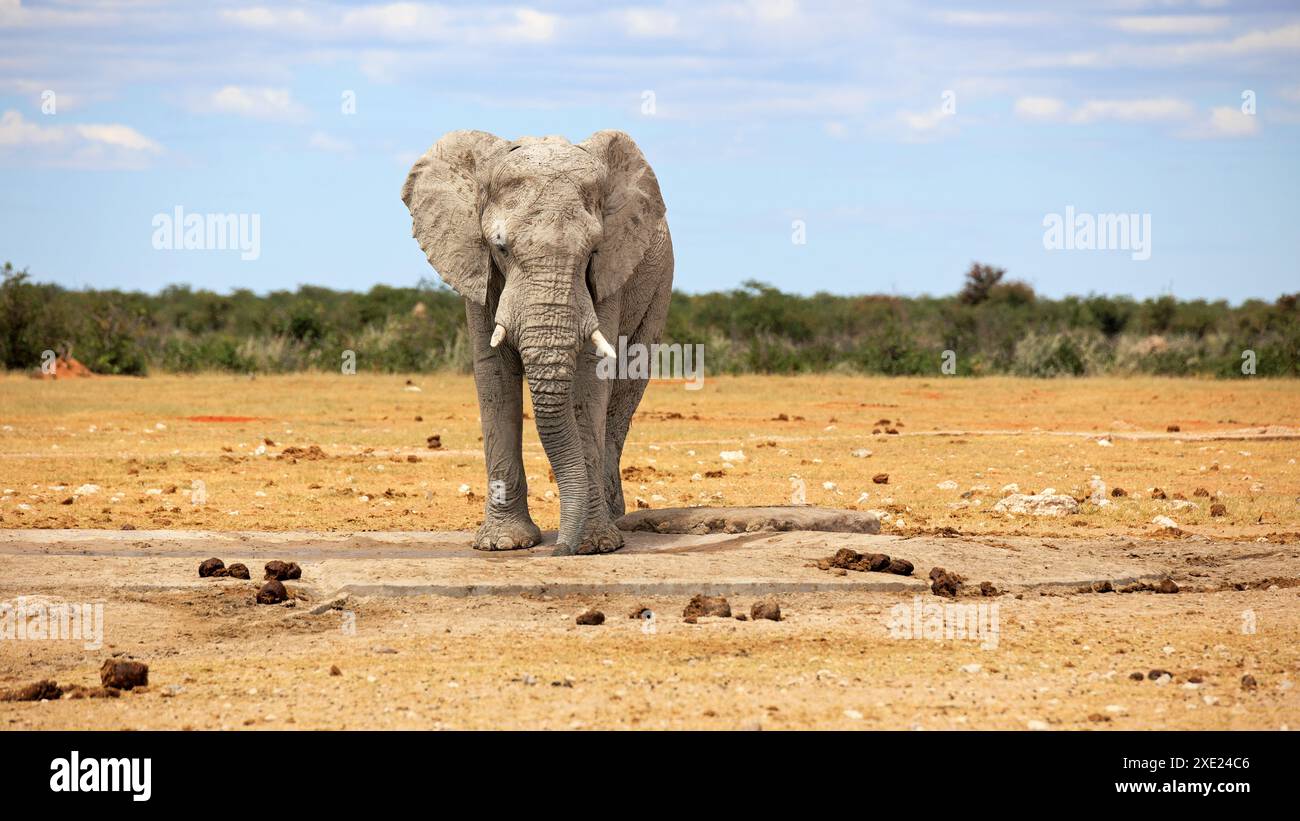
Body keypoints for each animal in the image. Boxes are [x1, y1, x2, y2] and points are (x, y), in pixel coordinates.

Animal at [401, 130, 674, 555]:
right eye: (500, 247)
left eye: (593, 251)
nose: (559, 549)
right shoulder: (476, 268)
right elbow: (494, 374)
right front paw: (503, 544)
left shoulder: (610, 271)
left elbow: (591, 378)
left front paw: (593, 546)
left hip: (659, 286)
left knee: (627, 384)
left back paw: (614, 520)